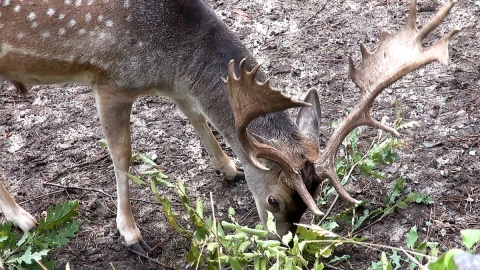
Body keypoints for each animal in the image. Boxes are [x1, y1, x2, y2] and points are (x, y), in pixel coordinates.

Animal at [0, 0, 458, 253]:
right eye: (274, 200)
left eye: (316, 195)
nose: (287, 243)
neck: (170, 49)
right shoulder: (111, 81)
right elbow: (121, 155)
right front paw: (131, 234)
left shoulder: (177, 84)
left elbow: (196, 113)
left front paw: (229, 167)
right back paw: (25, 219)